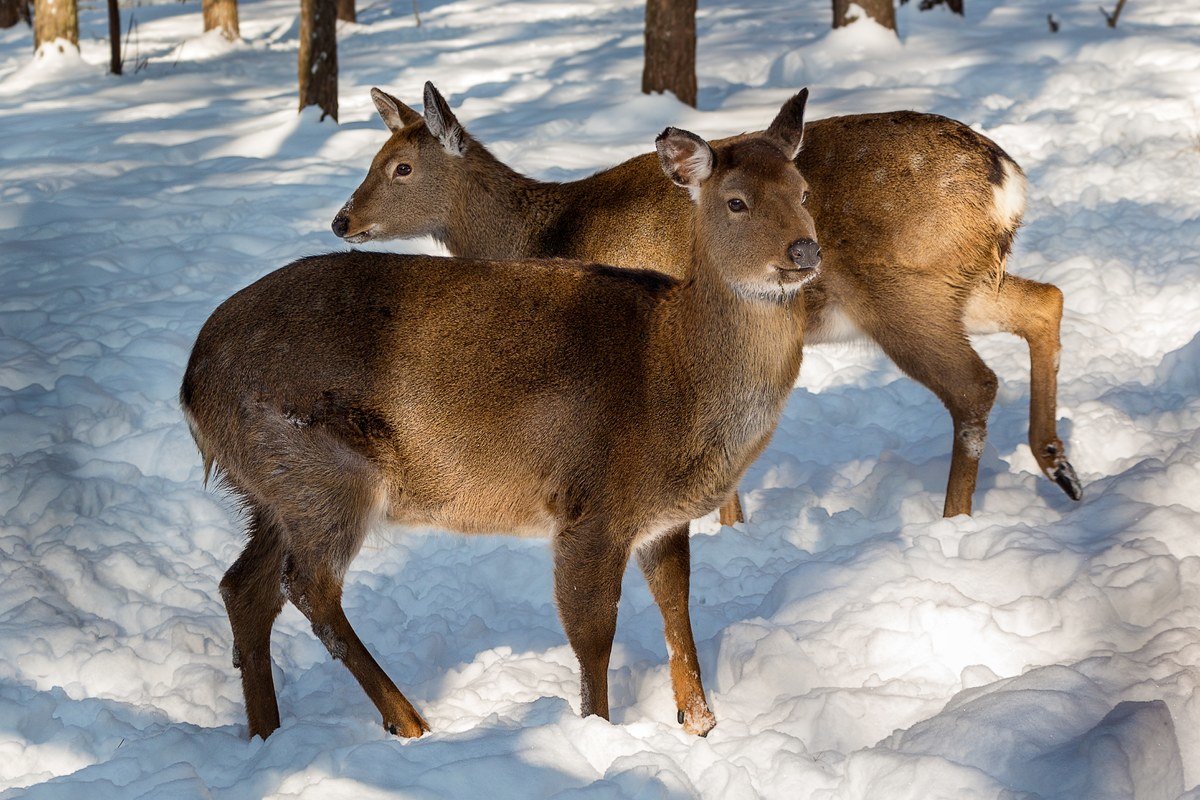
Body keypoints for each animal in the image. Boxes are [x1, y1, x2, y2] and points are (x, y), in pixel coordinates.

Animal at [182, 95, 820, 743]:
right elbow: (593, 634)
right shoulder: (593, 502)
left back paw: (267, 732)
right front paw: (597, 730)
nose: (804, 252)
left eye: (803, 191)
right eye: (736, 201)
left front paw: (701, 724)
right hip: (319, 466)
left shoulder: (662, 518)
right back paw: (409, 720)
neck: (673, 373)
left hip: (271, 486)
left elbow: (677, 607)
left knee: (244, 588)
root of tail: (190, 387)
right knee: (309, 587)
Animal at [333, 84, 1084, 525]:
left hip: (907, 288)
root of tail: (1008, 179)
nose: (342, 220)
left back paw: (956, 520)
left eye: (401, 168)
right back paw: (1061, 466)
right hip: (964, 278)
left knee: (974, 385)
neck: (546, 232)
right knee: (1046, 300)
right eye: (373, 157)